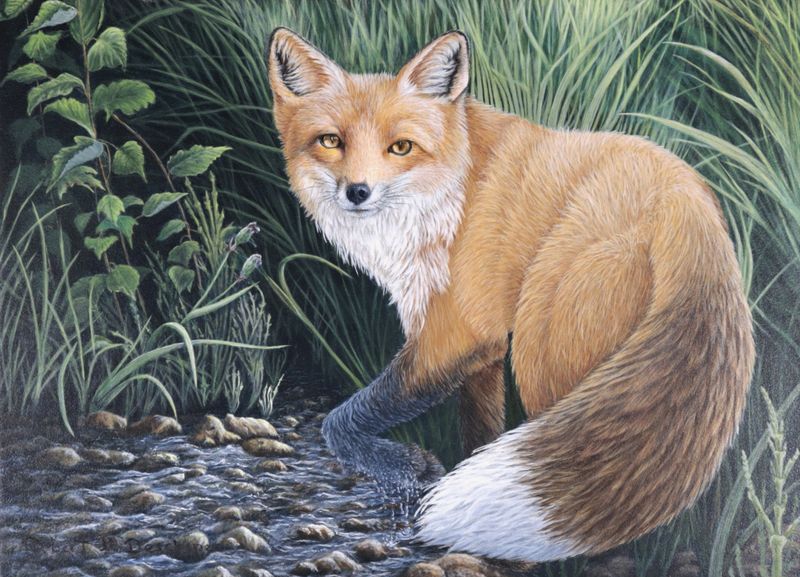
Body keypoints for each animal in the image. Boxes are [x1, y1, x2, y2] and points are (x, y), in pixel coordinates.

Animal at [266, 28, 755, 562]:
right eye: (331, 141)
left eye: (401, 147)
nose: (358, 191)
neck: (452, 196)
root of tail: (687, 203)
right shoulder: (482, 350)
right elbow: (480, 434)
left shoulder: (454, 334)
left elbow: (342, 421)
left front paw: (409, 469)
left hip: (545, 353)